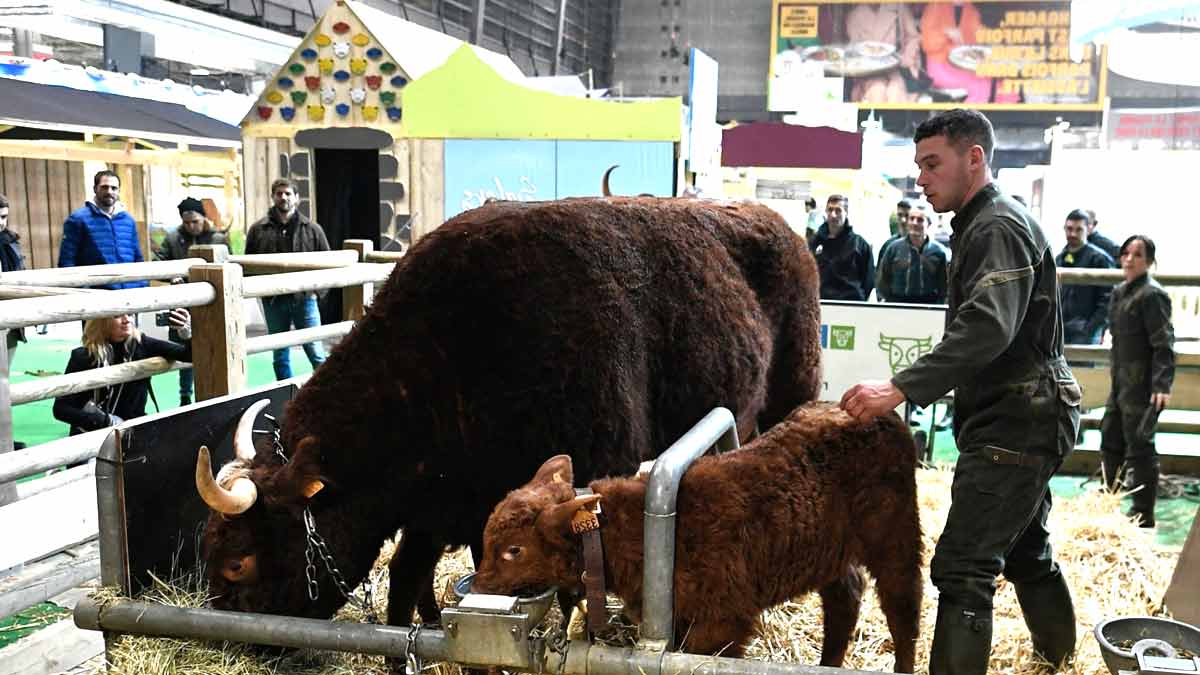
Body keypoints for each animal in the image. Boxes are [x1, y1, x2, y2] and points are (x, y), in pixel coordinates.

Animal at [472, 401, 921, 667]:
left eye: (514, 550)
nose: (479, 583)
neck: (624, 534)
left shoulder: (720, 621)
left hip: (896, 530)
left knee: (904, 607)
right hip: (828, 548)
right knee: (846, 595)